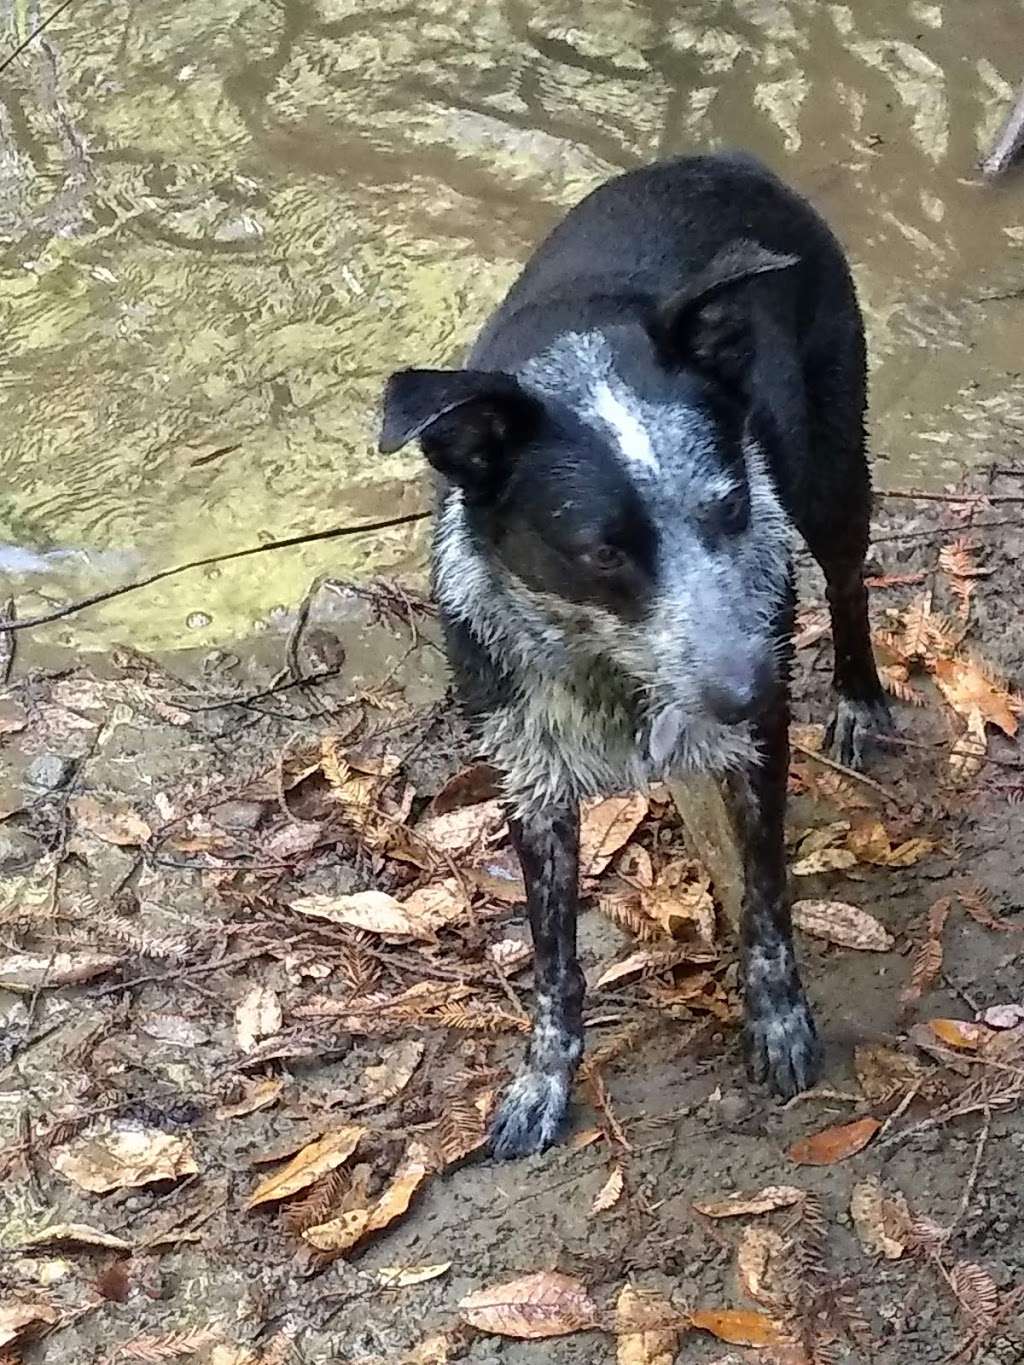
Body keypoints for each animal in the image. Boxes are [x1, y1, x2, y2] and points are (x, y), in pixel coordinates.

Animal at [382, 156, 895, 1162]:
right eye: (602, 551)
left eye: (730, 506)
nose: (751, 686)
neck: (608, 663)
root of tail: (727, 159)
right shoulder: (529, 775)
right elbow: (554, 962)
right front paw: (544, 1077)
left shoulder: (754, 744)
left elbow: (767, 899)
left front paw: (777, 1020)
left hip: (829, 469)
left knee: (851, 577)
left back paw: (860, 699)